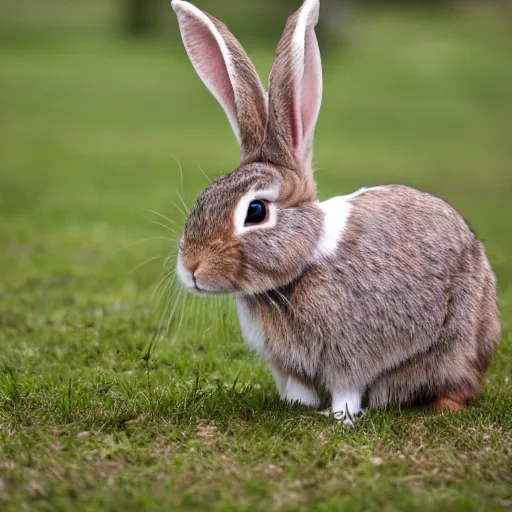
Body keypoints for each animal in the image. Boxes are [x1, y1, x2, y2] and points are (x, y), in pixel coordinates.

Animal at [172, 0, 500, 424]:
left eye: (256, 211)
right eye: (207, 194)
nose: (192, 268)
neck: (303, 261)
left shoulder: (354, 352)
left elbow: (348, 387)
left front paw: (340, 418)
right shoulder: (289, 363)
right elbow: (298, 386)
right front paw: (296, 406)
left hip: (457, 341)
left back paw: (445, 403)